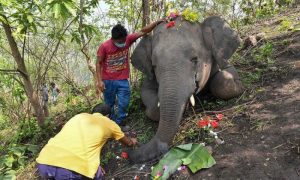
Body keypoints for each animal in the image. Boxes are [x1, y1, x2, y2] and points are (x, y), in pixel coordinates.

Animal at [128, 16, 244, 162]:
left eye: (195, 59)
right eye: (154, 66)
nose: (131, 152)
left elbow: (226, 75)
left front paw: (238, 86)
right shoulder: (150, 78)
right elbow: (147, 94)